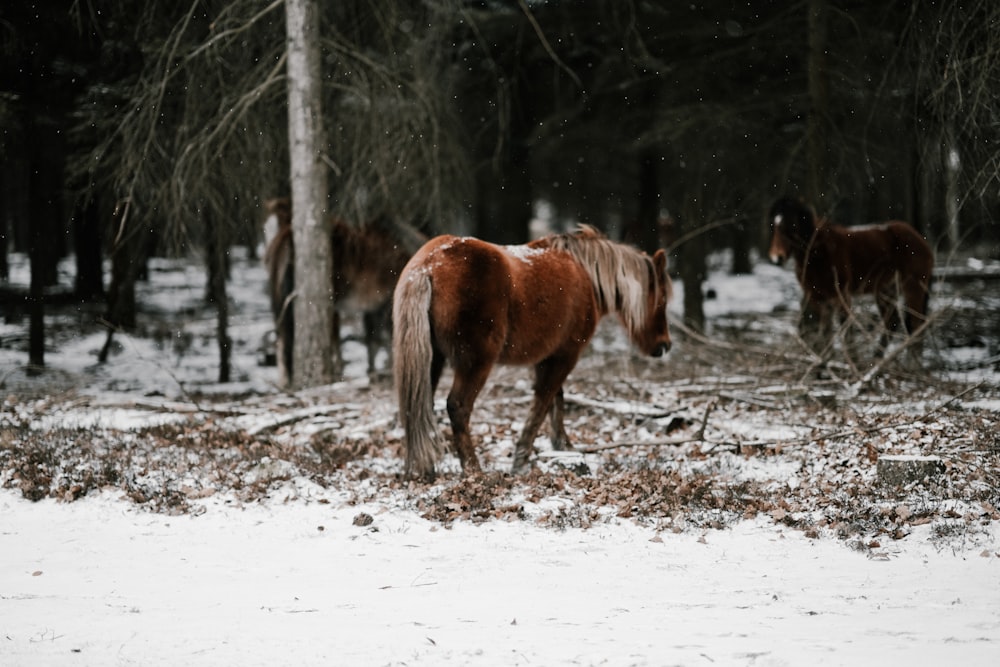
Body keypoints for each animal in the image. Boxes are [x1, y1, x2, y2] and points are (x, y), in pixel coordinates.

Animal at [390, 224, 672, 480]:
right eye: (662, 299)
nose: (665, 345)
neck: (585, 275)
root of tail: (428, 266)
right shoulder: (566, 355)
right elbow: (543, 402)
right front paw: (523, 458)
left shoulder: (548, 358)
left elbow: (555, 400)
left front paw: (563, 447)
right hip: (476, 363)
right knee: (458, 406)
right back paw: (473, 470)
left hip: (433, 359)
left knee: (418, 405)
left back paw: (422, 468)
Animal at [764, 196, 936, 358]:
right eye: (773, 226)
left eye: (792, 225)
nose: (777, 257)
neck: (818, 252)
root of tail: (920, 240)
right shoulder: (817, 298)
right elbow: (824, 334)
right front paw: (824, 365)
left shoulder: (841, 296)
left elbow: (846, 332)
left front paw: (852, 363)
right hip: (885, 290)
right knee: (892, 322)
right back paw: (876, 360)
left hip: (913, 288)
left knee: (916, 325)